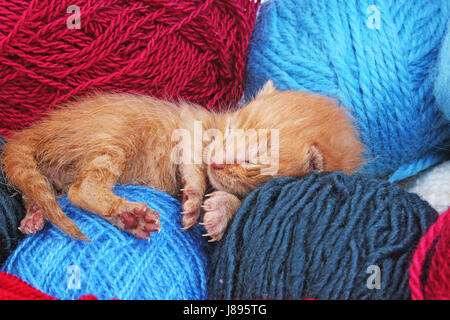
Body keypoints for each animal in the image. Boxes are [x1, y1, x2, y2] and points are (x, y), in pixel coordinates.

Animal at [1, 81, 364, 241]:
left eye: (251, 161)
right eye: (229, 129)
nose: (218, 162)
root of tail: (36, 130)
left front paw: (219, 212)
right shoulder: (192, 125)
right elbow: (194, 159)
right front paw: (194, 194)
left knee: (43, 189)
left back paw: (35, 216)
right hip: (113, 138)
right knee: (81, 190)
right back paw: (130, 215)